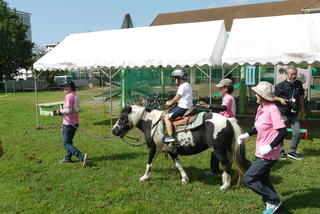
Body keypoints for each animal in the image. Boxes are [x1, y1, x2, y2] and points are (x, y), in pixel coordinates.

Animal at [112, 104, 250, 190]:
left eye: (122, 117)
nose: (114, 130)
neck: (152, 123)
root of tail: (228, 121)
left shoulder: (153, 148)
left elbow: (149, 163)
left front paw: (144, 177)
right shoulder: (170, 150)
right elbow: (178, 164)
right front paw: (185, 179)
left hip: (219, 150)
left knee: (227, 164)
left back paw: (225, 186)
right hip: (226, 149)